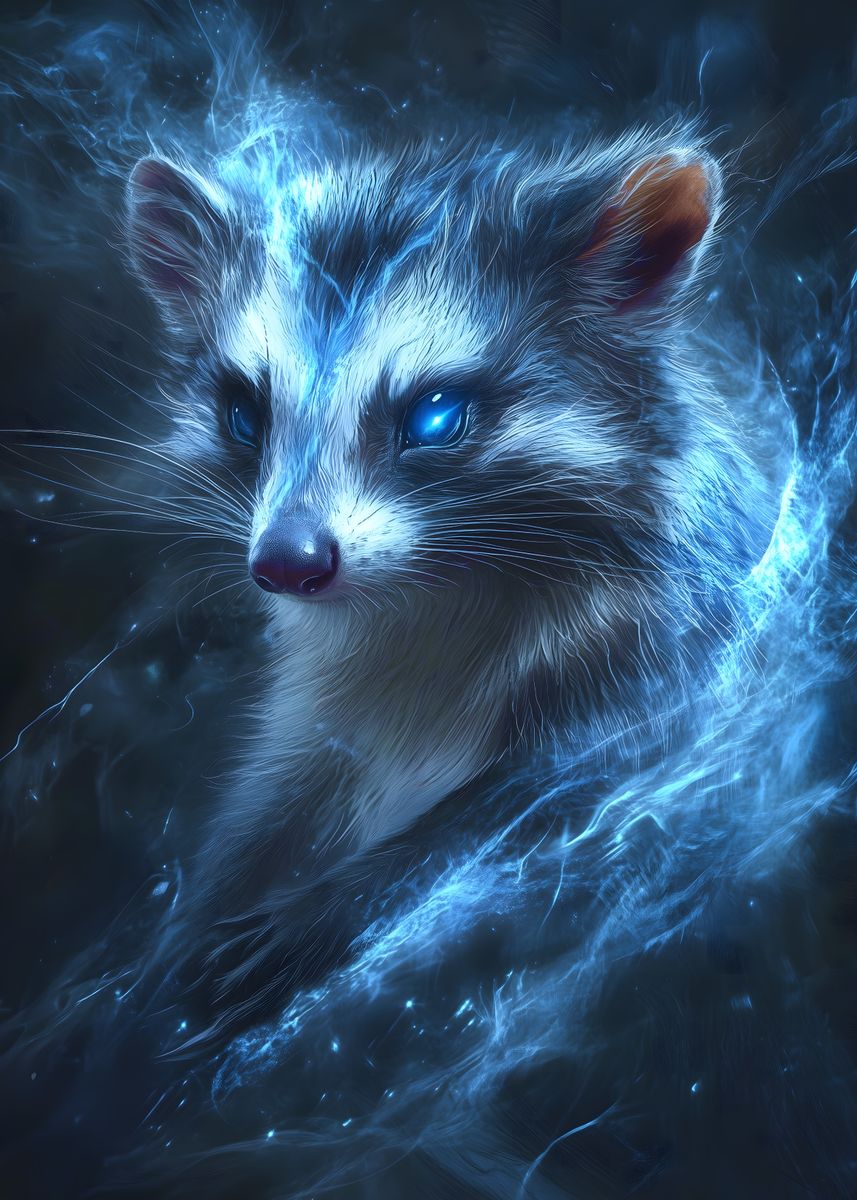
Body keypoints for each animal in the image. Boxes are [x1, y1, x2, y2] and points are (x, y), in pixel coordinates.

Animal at [126, 126, 768, 914]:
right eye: (245, 415)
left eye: (435, 416)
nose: (287, 560)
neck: (431, 602)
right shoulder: (310, 749)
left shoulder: (643, 670)